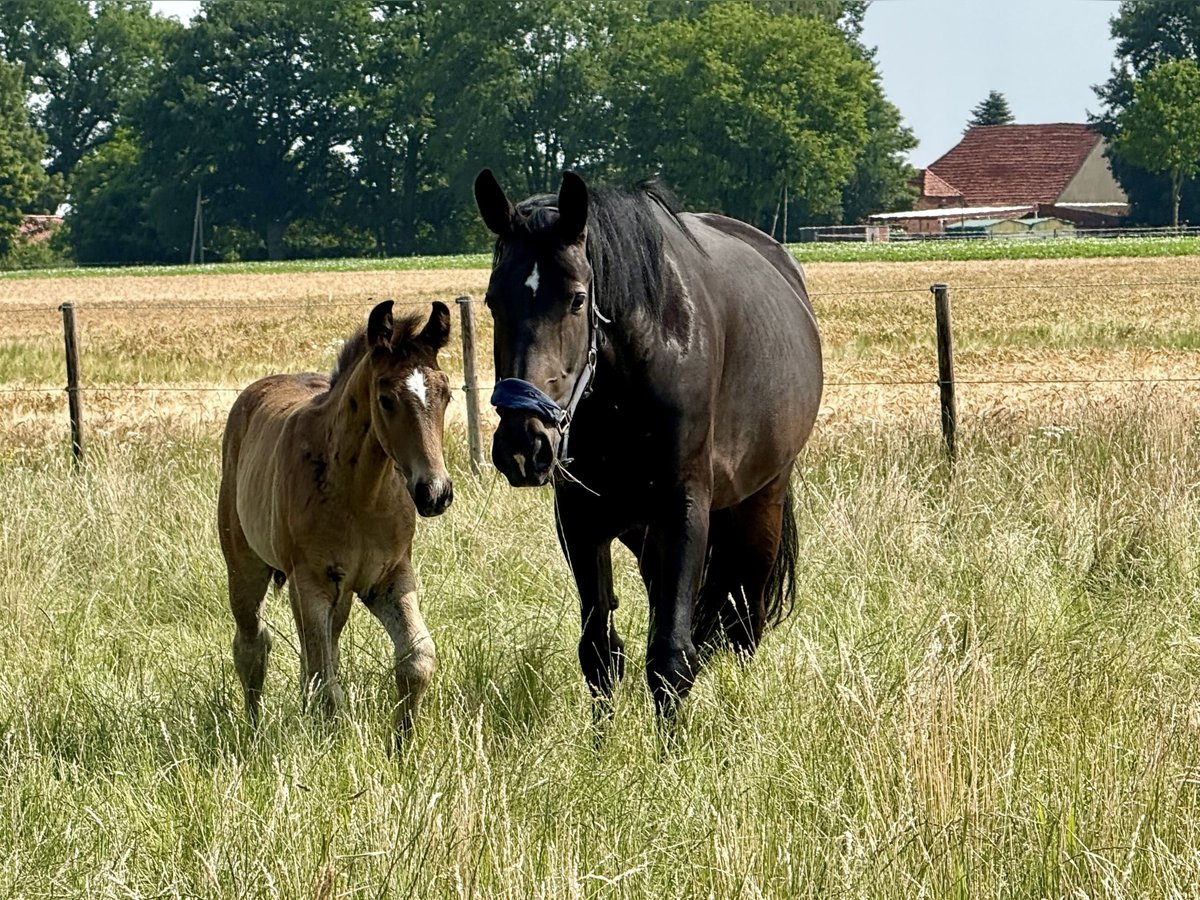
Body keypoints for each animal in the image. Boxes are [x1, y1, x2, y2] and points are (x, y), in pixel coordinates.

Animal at [217, 300, 454, 736]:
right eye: (386, 398)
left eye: (445, 393)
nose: (435, 492)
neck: (361, 495)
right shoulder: (309, 583)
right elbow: (326, 683)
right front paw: (335, 743)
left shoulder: (390, 577)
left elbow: (417, 660)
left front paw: (402, 741)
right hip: (246, 566)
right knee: (253, 643)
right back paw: (254, 731)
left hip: (340, 593)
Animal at [474, 169, 823, 718]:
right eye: (493, 300)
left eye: (577, 298)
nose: (523, 445)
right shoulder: (580, 517)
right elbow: (600, 651)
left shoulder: (683, 510)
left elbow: (670, 658)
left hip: (760, 502)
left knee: (746, 614)